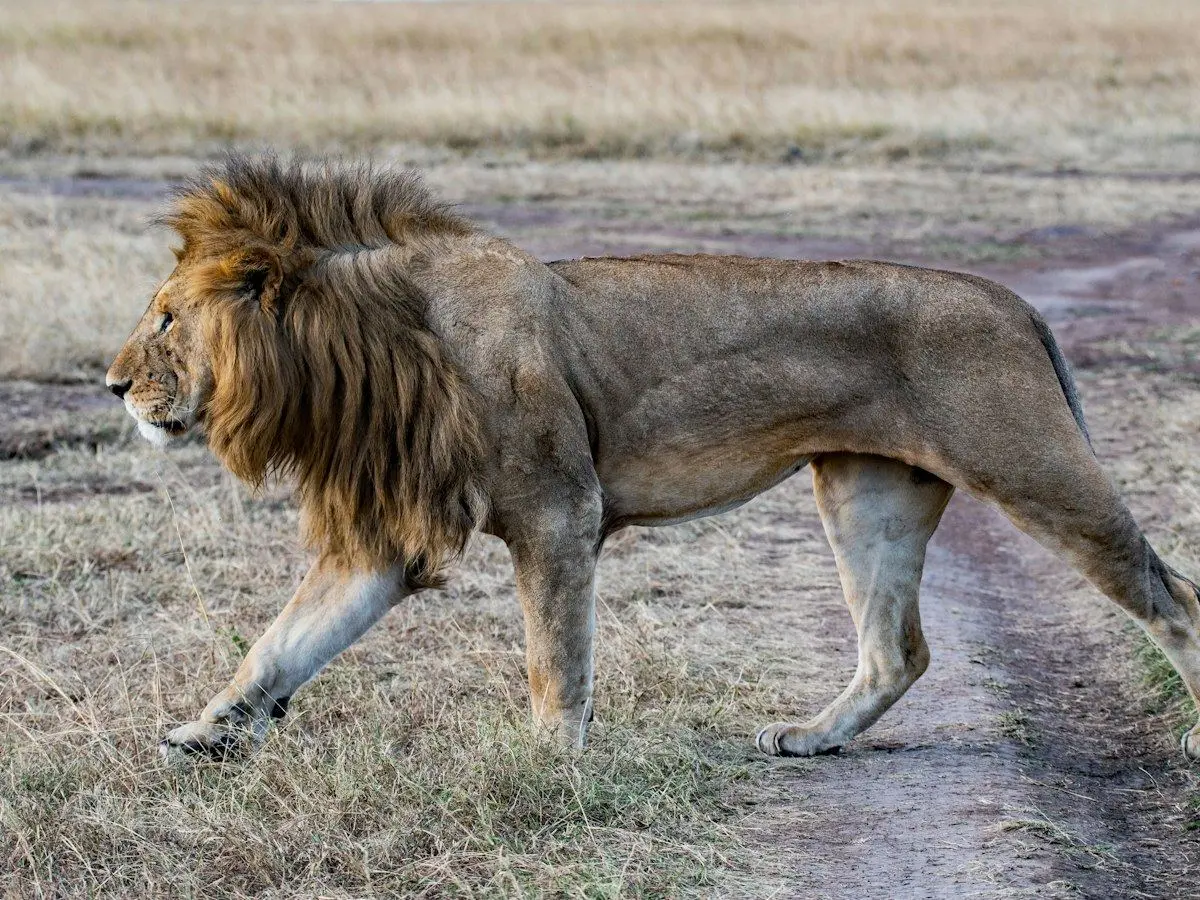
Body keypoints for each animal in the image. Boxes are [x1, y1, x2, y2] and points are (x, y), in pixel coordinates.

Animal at [105, 156, 1200, 762]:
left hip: (1036, 471)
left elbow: (555, 658)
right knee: (898, 649)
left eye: (164, 320)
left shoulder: (558, 511)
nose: (111, 386)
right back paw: (812, 736)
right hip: (866, 493)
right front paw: (205, 733)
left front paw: (550, 765)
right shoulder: (383, 539)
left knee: (1172, 595)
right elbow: (281, 643)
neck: (371, 350)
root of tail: (1013, 299)